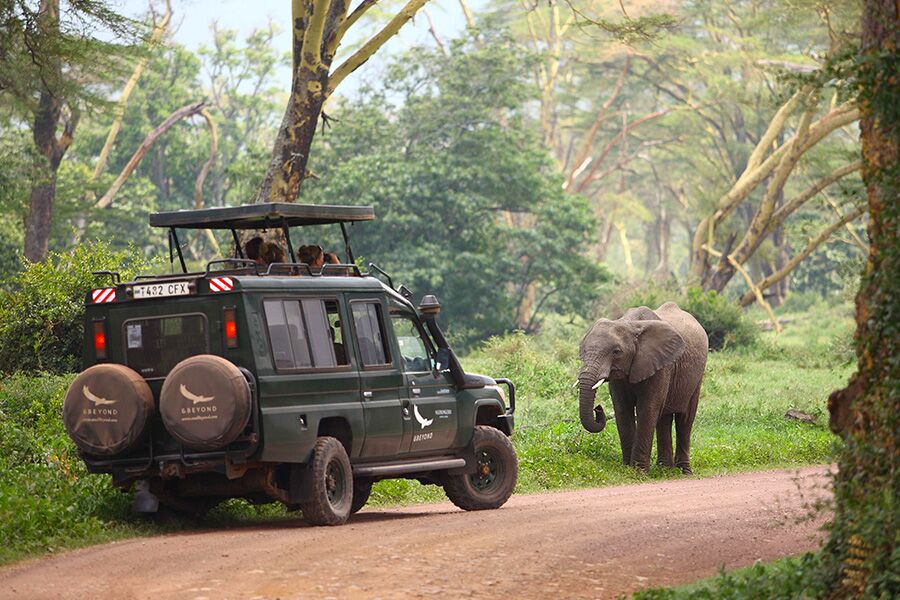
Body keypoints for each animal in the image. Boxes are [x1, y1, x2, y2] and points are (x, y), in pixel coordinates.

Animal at [577, 302, 708, 474]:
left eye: (616, 352)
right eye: (583, 351)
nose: (598, 408)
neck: (629, 324)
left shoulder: (661, 365)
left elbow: (647, 410)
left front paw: (639, 472)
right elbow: (622, 410)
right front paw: (627, 468)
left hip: (696, 376)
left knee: (685, 419)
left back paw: (684, 472)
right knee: (664, 419)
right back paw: (664, 469)